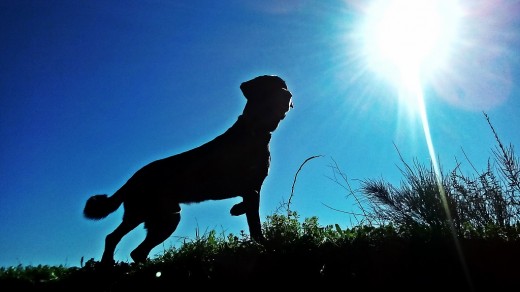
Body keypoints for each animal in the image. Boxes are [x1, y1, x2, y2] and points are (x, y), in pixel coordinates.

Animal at [82, 74, 292, 264]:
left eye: (283, 85)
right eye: (269, 87)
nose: (288, 94)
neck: (254, 129)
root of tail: (132, 179)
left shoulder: (251, 190)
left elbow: (247, 211)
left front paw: (236, 209)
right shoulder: (251, 189)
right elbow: (255, 224)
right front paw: (266, 245)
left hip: (165, 217)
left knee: (136, 251)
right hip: (145, 213)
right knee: (114, 238)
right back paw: (107, 264)